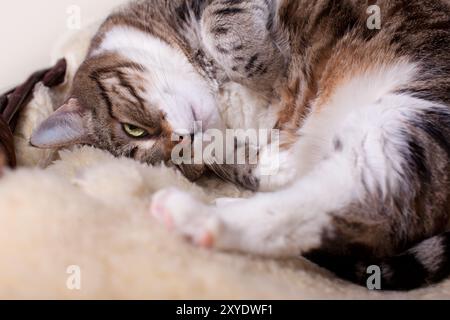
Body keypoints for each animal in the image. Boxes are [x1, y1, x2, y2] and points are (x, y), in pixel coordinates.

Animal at [30, 0, 450, 290]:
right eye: (174, 164)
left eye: (133, 129)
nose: (183, 141)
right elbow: (252, 160)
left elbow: (223, 27)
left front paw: (267, 65)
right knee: (368, 203)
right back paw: (201, 214)